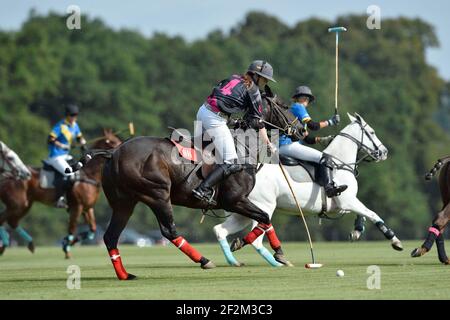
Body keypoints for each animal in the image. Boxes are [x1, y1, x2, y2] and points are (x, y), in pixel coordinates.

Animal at [96, 97, 302, 280]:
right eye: (285, 105)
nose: (301, 129)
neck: (244, 148)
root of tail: (114, 153)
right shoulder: (234, 200)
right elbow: (264, 218)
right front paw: (250, 245)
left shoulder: (240, 202)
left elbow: (265, 220)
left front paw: (275, 253)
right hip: (157, 195)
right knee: (169, 231)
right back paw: (204, 260)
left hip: (124, 203)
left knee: (110, 237)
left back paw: (124, 275)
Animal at [214, 114, 404, 266]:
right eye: (372, 132)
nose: (384, 152)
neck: (340, 163)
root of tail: (249, 173)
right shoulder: (347, 201)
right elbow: (372, 214)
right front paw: (395, 241)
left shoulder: (343, 205)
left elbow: (362, 214)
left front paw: (356, 231)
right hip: (263, 206)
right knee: (257, 239)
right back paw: (278, 261)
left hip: (243, 211)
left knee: (221, 230)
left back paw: (236, 254)